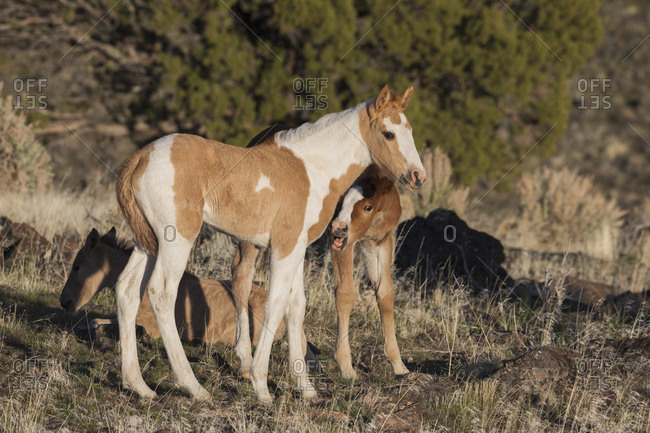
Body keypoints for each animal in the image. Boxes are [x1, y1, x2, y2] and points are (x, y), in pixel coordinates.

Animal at [329, 165, 408, 379]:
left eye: (368, 207)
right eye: (339, 201)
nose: (337, 228)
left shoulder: (380, 243)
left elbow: (385, 295)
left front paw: (398, 364)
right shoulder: (343, 245)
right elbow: (345, 294)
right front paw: (346, 366)